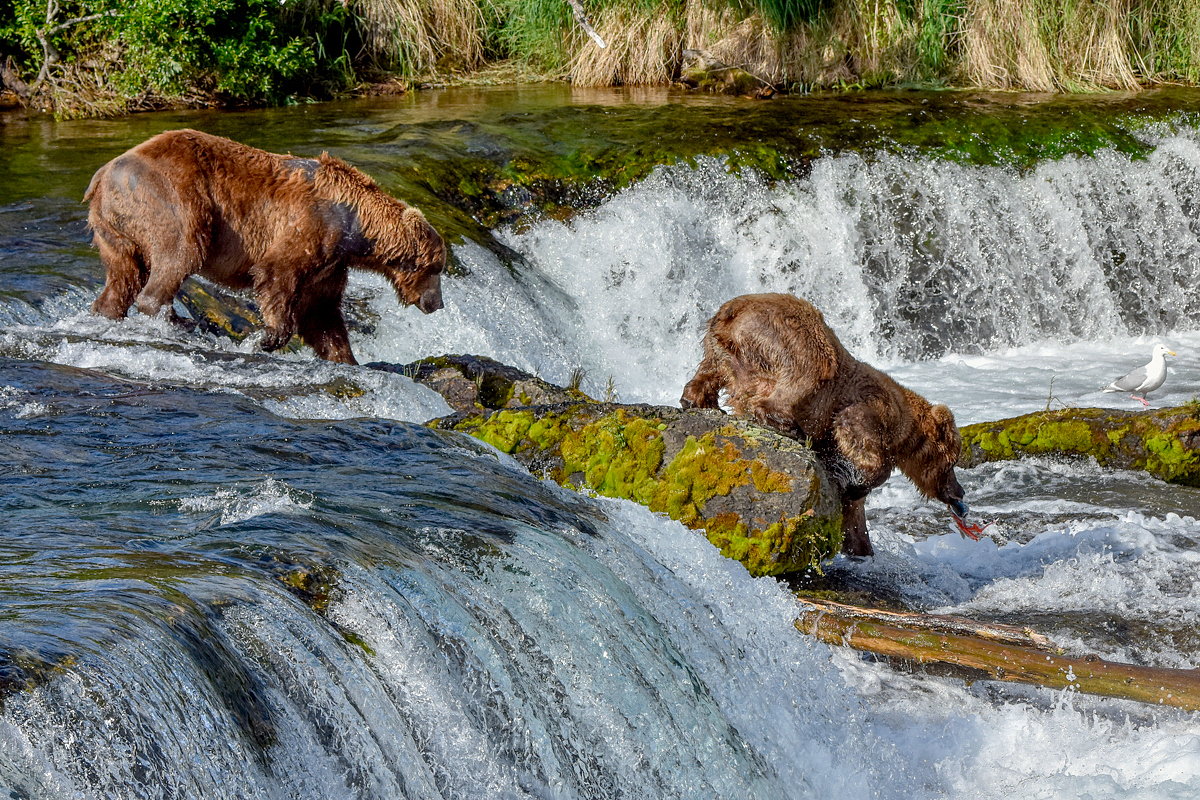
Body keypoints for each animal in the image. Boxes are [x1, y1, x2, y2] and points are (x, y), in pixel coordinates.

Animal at [85, 128, 446, 367]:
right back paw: (175, 320)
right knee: (181, 251)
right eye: (436, 269)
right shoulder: (310, 227)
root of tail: (104, 173)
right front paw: (266, 339)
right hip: (171, 196)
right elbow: (277, 276)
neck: (354, 229)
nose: (437, 303)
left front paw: (345, 358)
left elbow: (321, 314)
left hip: (115, 228)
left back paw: (108, 311)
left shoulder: (330, 263)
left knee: (125, 275)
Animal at [681, 292, 969, 556]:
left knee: (710, 371)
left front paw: (860, 545)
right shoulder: (867, 405)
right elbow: (860, 441)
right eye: (952, 462)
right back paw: (790, 428)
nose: (960, 492)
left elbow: (855, 514)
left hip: (720, 345)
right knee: (809, 368)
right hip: (790, 336)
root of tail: (733, 309)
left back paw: (699, 401)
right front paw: (855, 481)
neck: (903, 430)